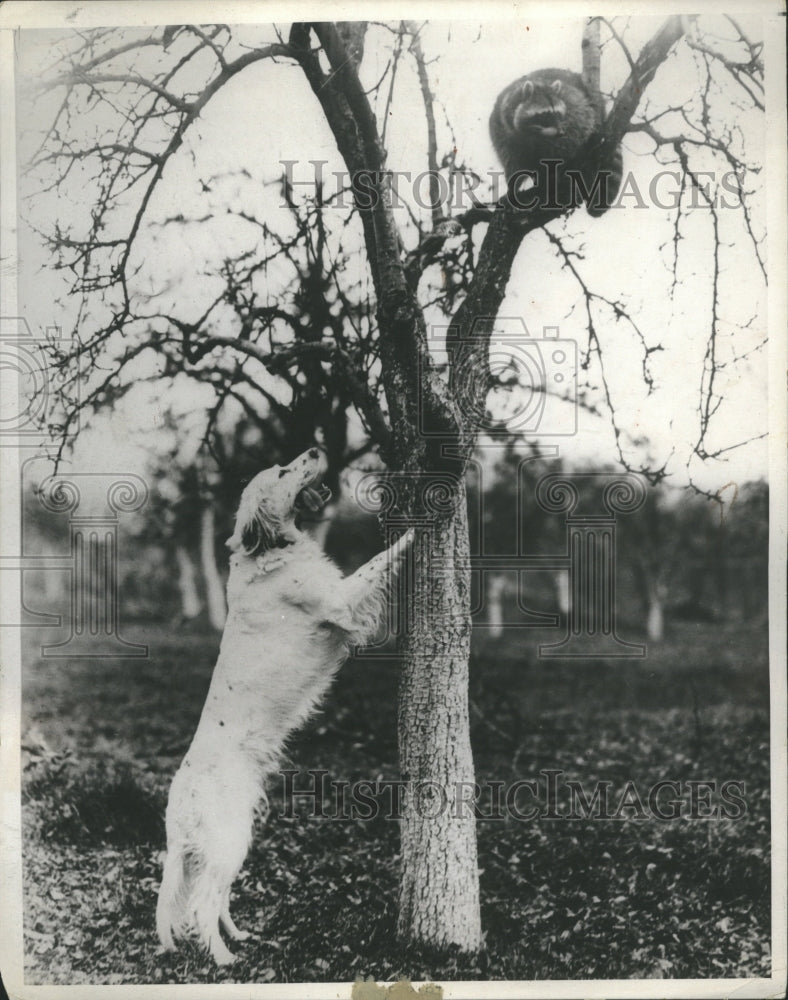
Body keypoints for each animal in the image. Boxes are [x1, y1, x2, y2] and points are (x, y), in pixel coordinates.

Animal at [155, 450, 412, 964]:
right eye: (281, 472)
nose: (314, 450)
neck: (268, 551)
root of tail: (180, 800)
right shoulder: (340, 601)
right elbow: (379, 560)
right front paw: (417, 530)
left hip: (229, 844)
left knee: (216, 898)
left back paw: (238, 936)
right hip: (229, 839)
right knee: (202, 902)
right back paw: (223, 956)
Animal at [486, 68, 620, 217]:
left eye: (559, 113)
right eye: (545, 115)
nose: (561, 132)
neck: (533, 136)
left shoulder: (574, 113)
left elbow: (575, 137)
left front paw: (558, 170)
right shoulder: (501, 130)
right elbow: (512, 162)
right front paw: (512, 188)